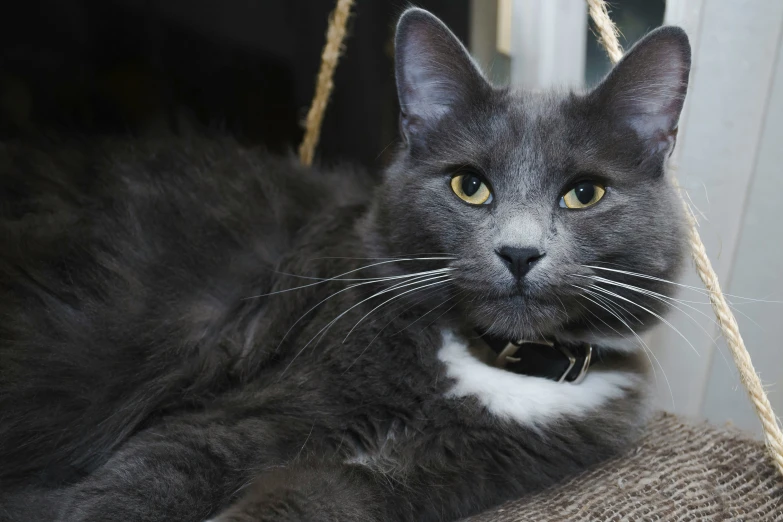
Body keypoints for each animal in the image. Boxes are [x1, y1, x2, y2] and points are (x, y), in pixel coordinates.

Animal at [1, 8, 692, 520]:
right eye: (469, 186)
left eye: (584, 194)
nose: (519, 252)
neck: (489, 363)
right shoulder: (256, 411)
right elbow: (144, 480)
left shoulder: (422, 475)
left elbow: (317, 499)